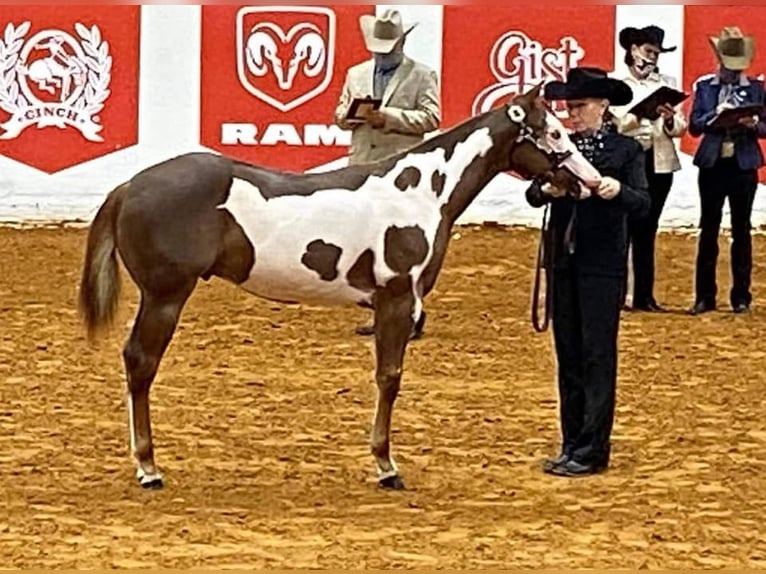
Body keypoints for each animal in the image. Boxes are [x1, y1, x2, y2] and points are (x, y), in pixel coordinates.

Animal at [81, 84, 604, 490]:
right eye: (553, 132)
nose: (593, 183)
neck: (423, 190)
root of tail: (129, 186)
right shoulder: (396, 300)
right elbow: (389, 378)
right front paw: (386, 467)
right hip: (165, 296)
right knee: (141, 363)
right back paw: (148, 468)